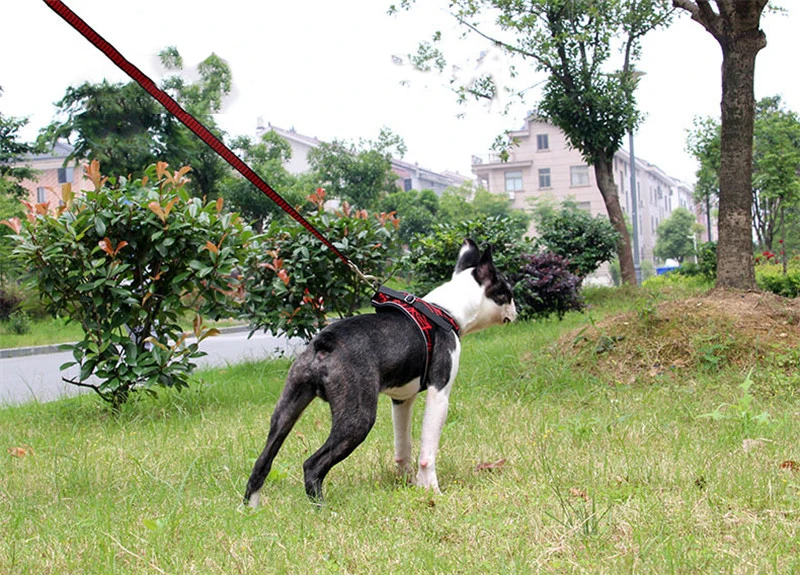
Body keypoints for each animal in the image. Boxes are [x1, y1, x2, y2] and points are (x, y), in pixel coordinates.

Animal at [245, 236, 520, 506]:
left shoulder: (401, 400)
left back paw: (250, 508)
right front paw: (432, 490)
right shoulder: (439, 392)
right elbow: (427, 450)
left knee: (263, 461)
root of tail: (325, 343)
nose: (517, 310)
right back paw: (322, 508)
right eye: (508, 293)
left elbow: (403, 445)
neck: (447, 310)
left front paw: (408, 484)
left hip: (289, 406)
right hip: (358, 418)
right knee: (312, 465)